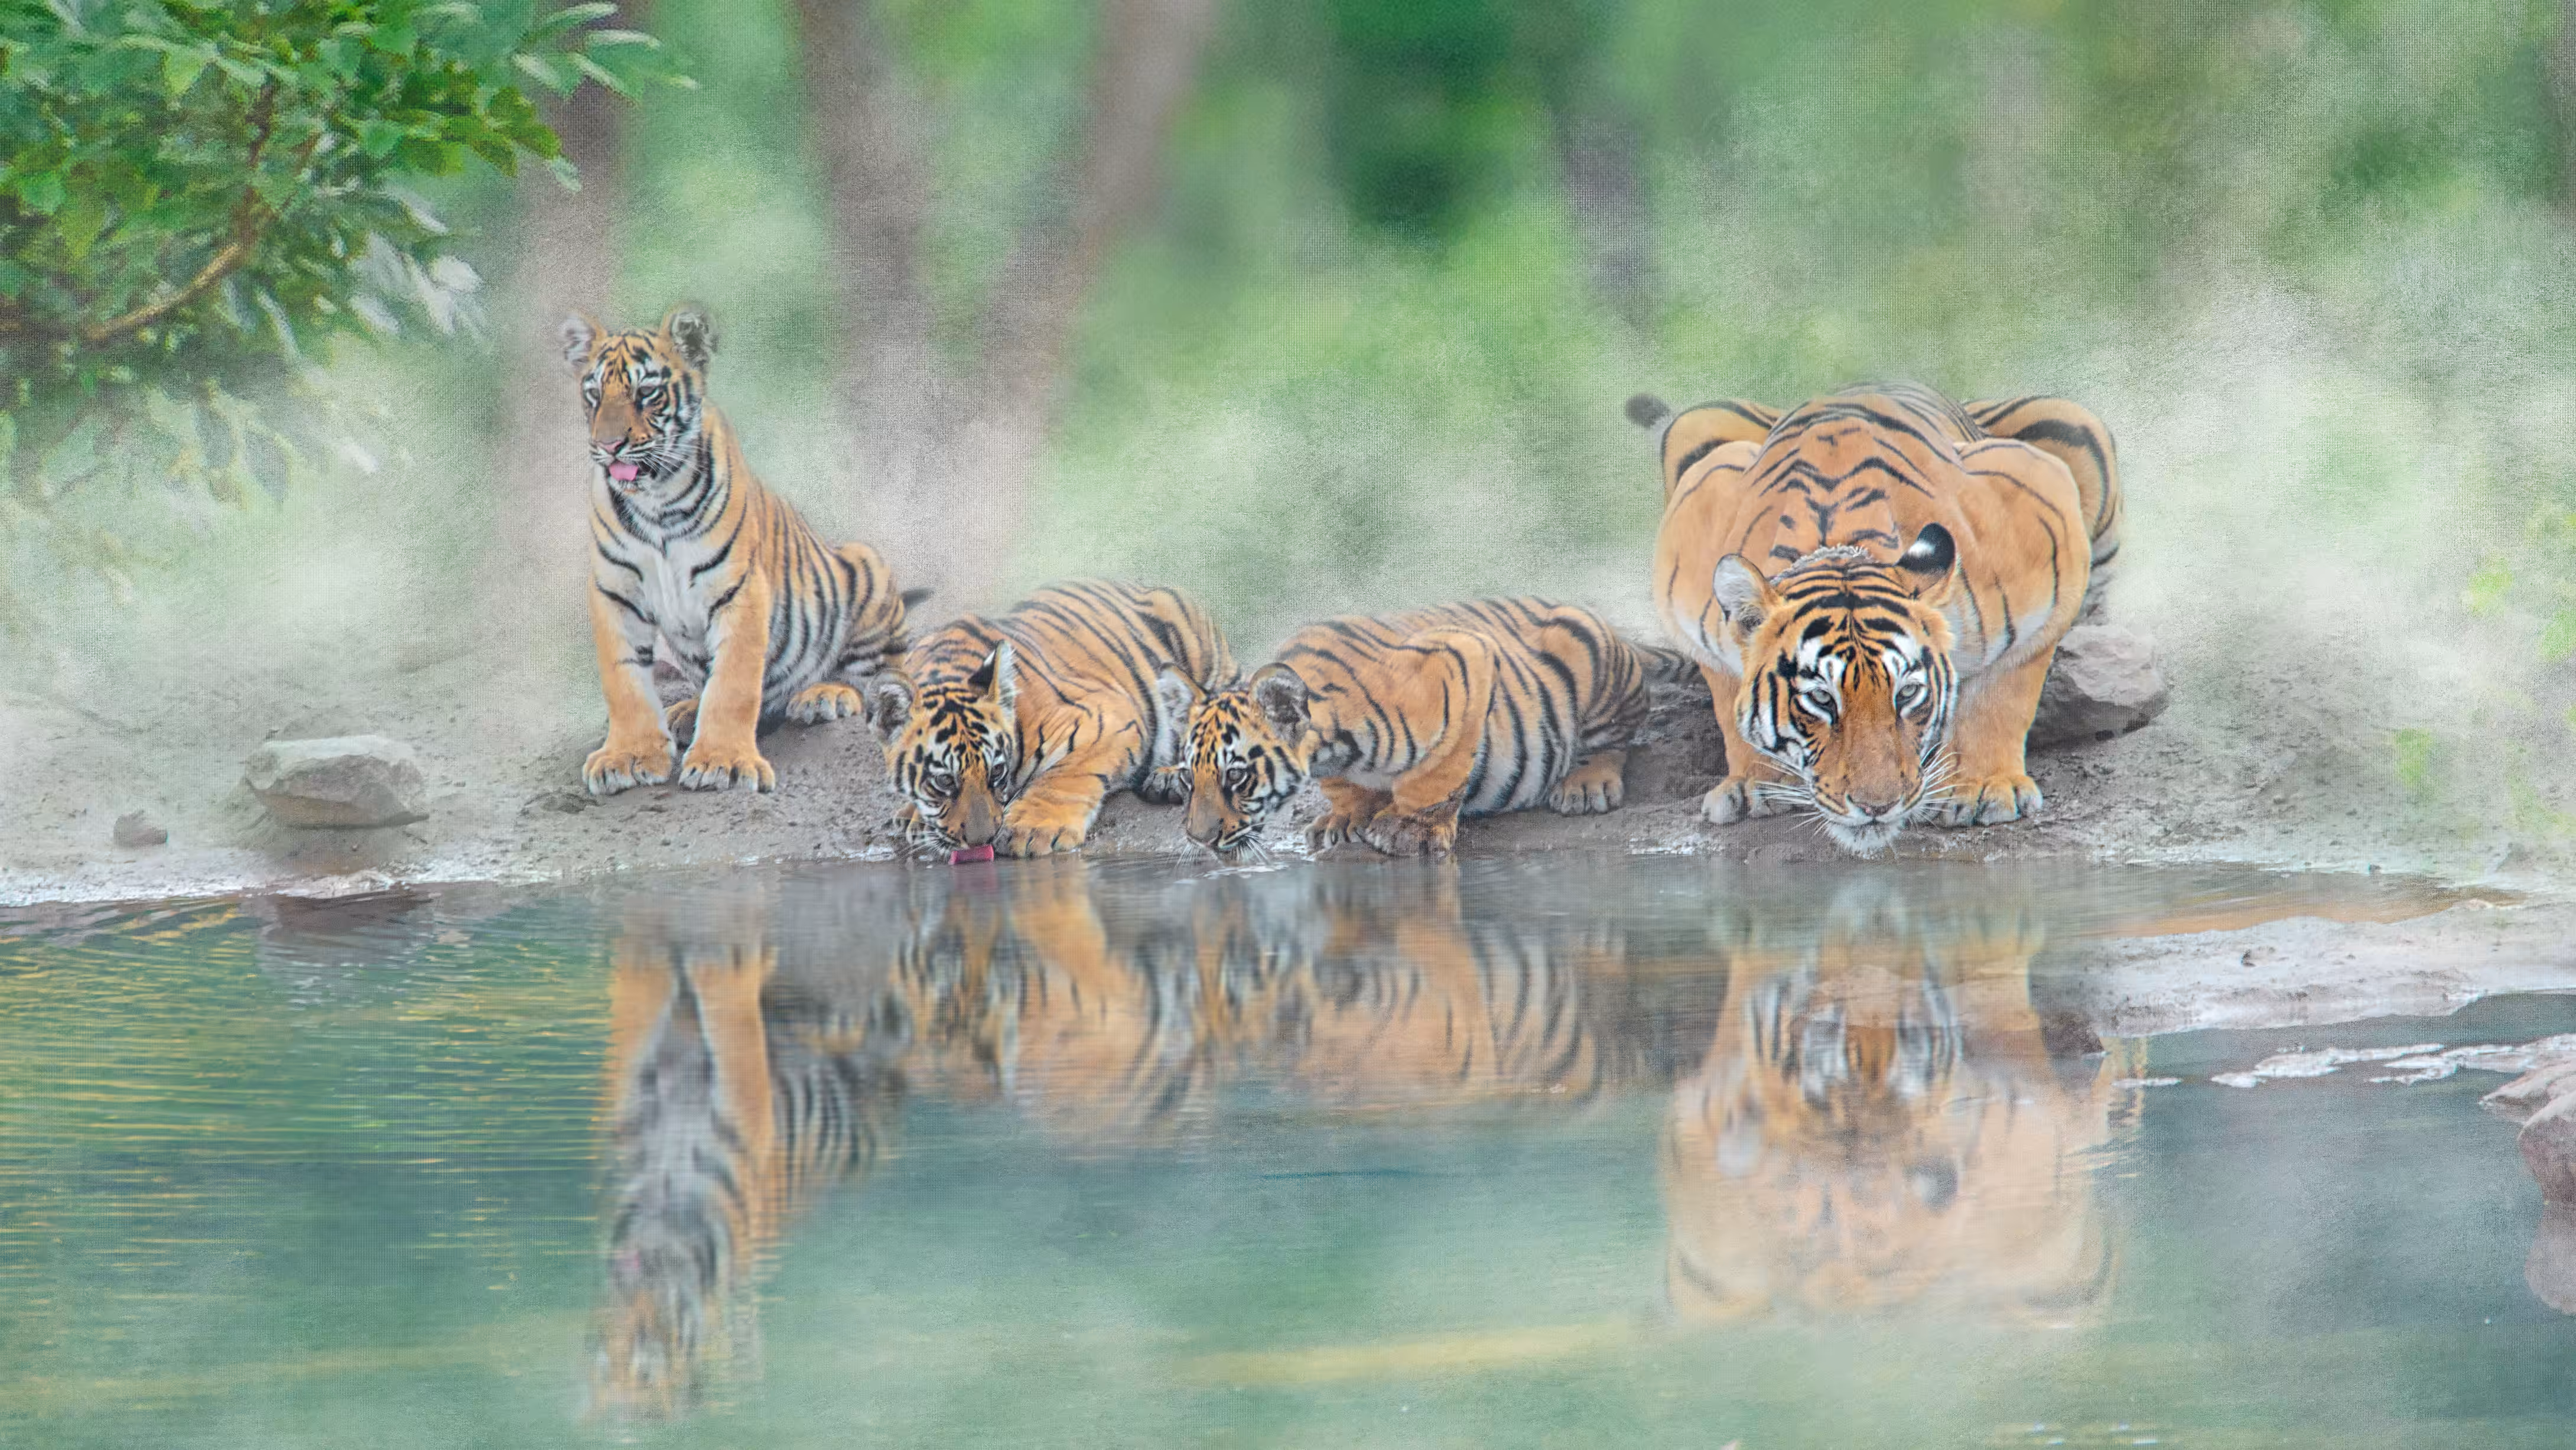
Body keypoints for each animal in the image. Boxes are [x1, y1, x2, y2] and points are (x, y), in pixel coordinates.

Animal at [563, 305, 925, 798]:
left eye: (647, 393)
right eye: (594, 394)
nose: (608, 446)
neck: (655, 502)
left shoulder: (739, 589)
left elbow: (733, 684)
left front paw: (723, 763)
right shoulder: (614, 593)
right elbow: (624, 681)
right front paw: (628, 757)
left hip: (867, 567)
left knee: (876, 678)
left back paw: (823, 696)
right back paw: (686, 713)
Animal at [865, 579, 1236, 857]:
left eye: (996, 772)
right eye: (944, 781)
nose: (982, 841)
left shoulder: (1105, 715)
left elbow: (1063, 777)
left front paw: (1029, 831)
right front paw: (914, 816)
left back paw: (1169, 779)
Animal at [1166, 597, 1686, 861]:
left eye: (1236, 776)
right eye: (1189, 778)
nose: (1198, 839)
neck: (1335, 752)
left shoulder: (1465, 655)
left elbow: (1439, 775)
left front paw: (1407, 830)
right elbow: (1346, 789)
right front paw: (1345, 818)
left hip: (1589, 660)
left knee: (1616, 737)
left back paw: (1585, 784)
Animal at [1631, 384, 2122, 854]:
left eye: (1906, 694)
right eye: (1822, 699)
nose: (1877, 807)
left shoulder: (2046, 525)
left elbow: (2002, 692)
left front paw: (1986, 786)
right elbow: (1727, 694)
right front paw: (1756, 782)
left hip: (2072, 422)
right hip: (1700, 422)